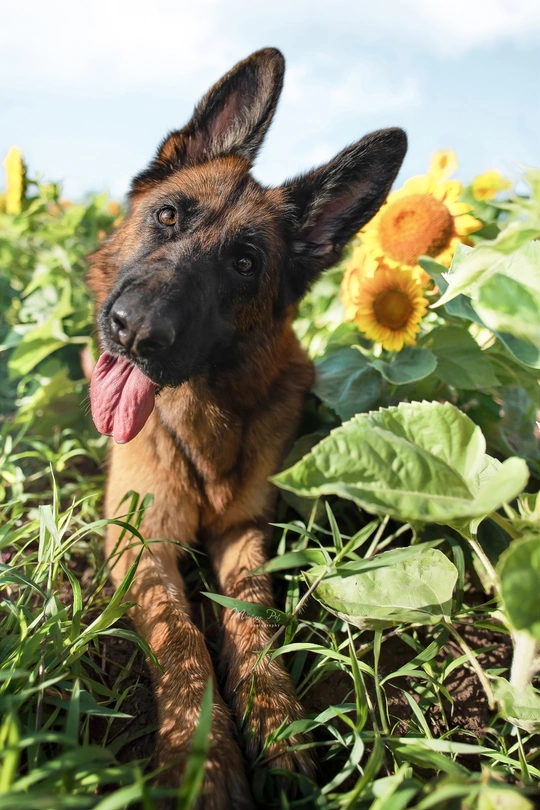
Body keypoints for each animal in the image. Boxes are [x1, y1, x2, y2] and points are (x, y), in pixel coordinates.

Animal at [86, 47, 408, 804]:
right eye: (169, 216)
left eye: (244, 263)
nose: (135, 333)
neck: (201, 419)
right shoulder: (140, 542)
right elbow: (180, 638)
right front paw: (200, 754)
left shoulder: (245, 533)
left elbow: (254, 619)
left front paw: (276, 723)